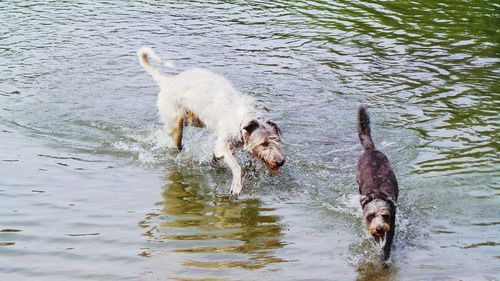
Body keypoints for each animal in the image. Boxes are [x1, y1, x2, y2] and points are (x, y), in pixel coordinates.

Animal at [137, 46, 286, 195]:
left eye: (277, 141)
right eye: (263, 144)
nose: (281, 162)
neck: (242, 119)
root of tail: (168, 82)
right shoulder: (223, 143)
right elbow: (235, 165)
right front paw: (237, 184)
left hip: (194, 120)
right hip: (175, 122)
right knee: (175, 141)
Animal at [356, 104, 398, 260]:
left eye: (384, 215)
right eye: (371, 215)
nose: (379, 228)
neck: (377, 195)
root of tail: (371, 149)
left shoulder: (391, 221)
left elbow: (388, 240)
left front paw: (384, 255)